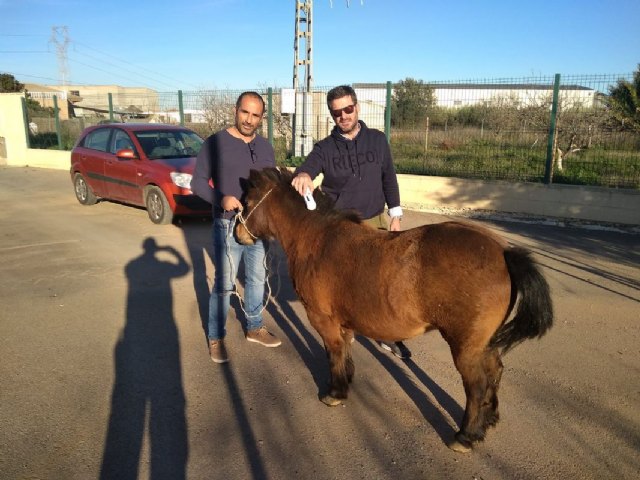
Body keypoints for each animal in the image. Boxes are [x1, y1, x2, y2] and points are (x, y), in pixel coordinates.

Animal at [235, 167, 553, 453]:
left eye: (248, 202)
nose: (238, 234)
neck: (318, 239)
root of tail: (503, 252)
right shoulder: (344, 321)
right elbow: (345, 351)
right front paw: (347, 380)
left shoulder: (323, 319)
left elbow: (333, 352)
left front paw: (335, 392)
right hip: (485, 343)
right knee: (495, 372)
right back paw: (488, 419)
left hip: (467, 347)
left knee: (476, 386)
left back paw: (465, 436)